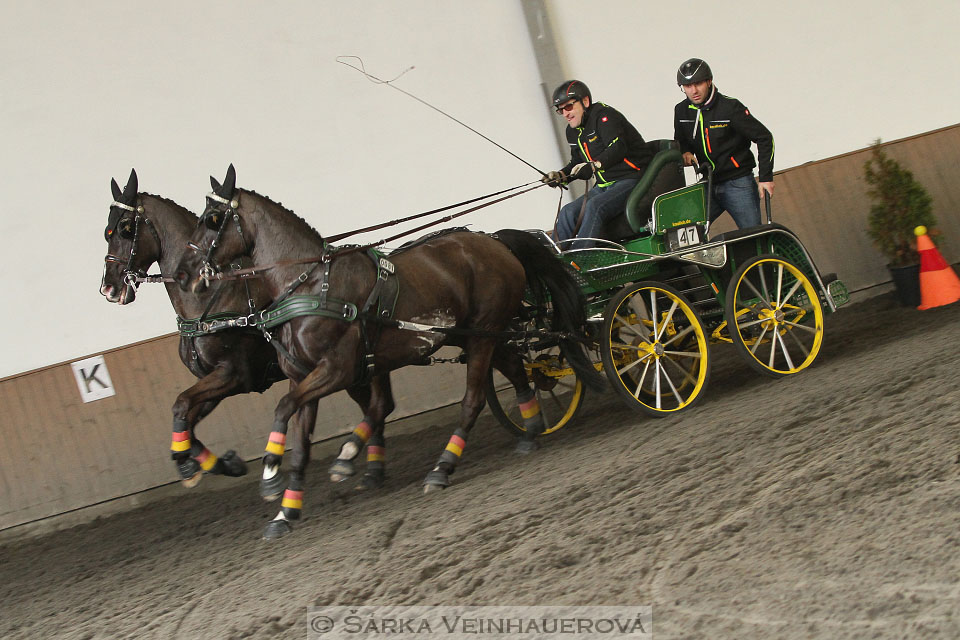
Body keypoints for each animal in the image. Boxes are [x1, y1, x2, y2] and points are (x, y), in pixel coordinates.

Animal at [101, 170, 318, 490]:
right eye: (107, 232)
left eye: (126, 229)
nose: (109, 288)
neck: (207, 299)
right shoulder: (211, 382)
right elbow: (185, 421)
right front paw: (222, 463)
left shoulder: (231, 375)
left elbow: (180, 405)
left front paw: (190, 467)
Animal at [176, 166, 604, 540]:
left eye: (212, 218)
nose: (184, 274)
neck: (311, 285)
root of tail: (494, 240)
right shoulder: (304, 376)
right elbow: (300, 442)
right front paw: (285, 512)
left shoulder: (336, 370)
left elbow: (282, 408)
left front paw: (270, 476)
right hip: (479, 335)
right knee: (518, 371)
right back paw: (531, 431)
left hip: (482, 336)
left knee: (473, 399)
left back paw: (442, 467)